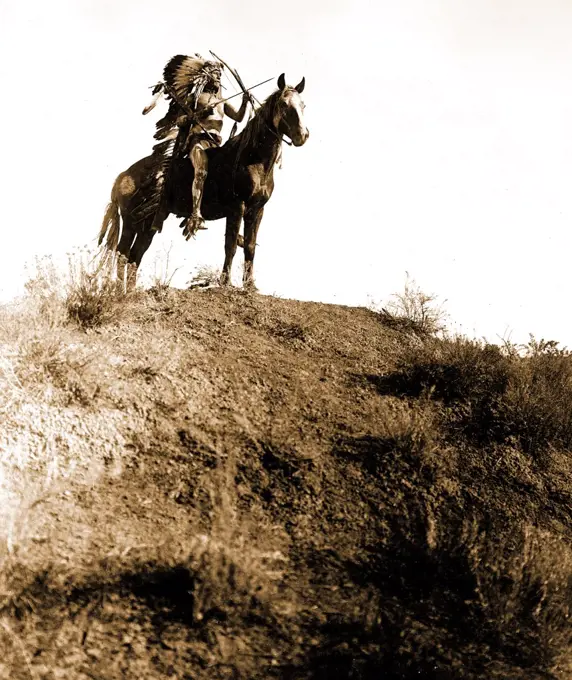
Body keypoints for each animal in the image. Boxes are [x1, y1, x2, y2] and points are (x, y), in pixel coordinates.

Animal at [97, 73, 308, 290]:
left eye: (303, 105)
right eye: (284, 104)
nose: (303, 135)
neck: (252, 159)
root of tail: (122, 177)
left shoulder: (257, 210)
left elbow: (249, 246)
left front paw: (250, 285)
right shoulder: (237, 207)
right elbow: (230, 245)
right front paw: (225, 282)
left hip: (147, 224)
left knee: (134, 255)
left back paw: (130, 290)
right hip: (131, 223)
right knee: (122, 253)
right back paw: (119, 291)